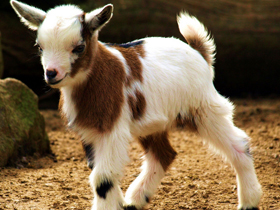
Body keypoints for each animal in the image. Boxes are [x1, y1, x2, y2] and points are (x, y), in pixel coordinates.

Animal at [9, 0, 262, 209]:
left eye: (79, 47)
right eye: (40, 47)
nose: (52, 73)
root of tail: (198, 52)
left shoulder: (112, 128)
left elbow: (103, 178)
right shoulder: (90, 131)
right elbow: (101, 173)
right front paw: (118, 203)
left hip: (203, 108)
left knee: (239, 143)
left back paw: (249, 202)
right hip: (153, 122)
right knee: (164, 154)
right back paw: (135, 200)